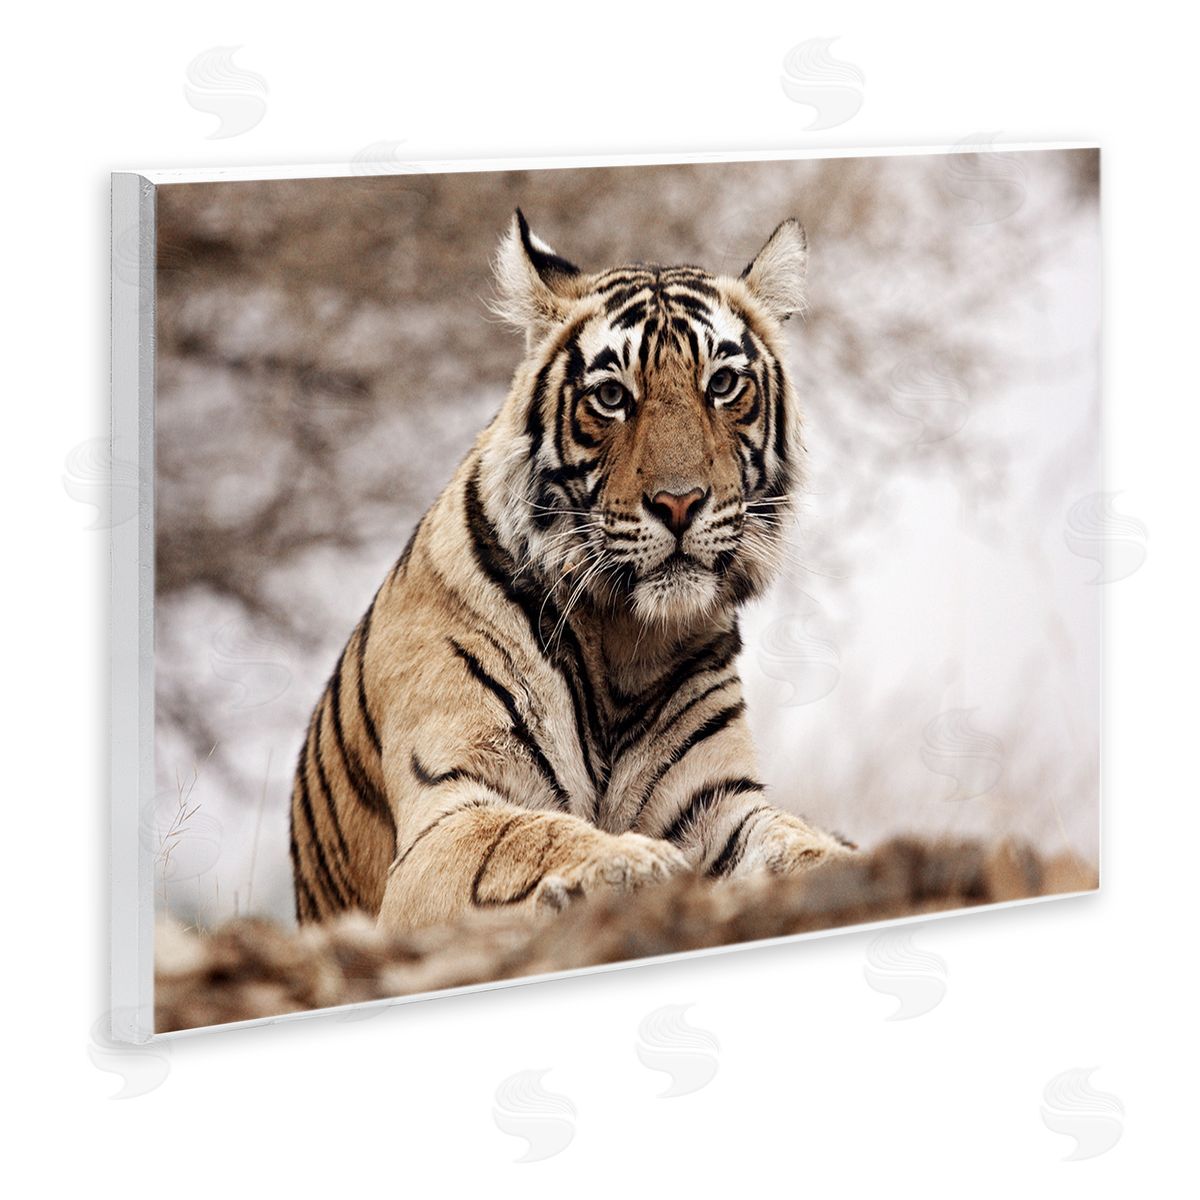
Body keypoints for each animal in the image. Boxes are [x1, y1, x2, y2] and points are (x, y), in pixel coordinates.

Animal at [289, 209, 852, 933]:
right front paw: (632, 862)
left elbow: (793, 841)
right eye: (611, 396)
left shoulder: (720, 802)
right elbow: (526, 836)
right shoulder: (447, 814)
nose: (680, 502)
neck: (624, 640)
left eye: (723, 385)